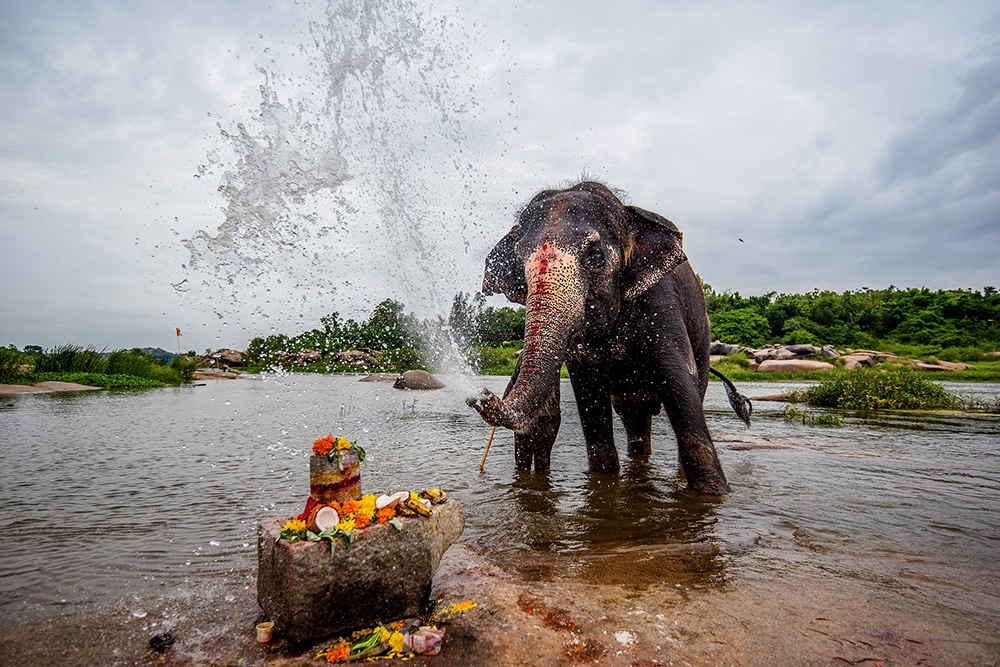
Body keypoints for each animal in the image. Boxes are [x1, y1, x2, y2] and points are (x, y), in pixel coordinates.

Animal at [468, 181, 752, 496]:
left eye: (595, 257)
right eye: (519, 261)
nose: (482, 395)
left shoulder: (662, 305)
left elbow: (679, 384)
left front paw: (713, 493)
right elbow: (589, 396)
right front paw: (604, 481)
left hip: (702, 334)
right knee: (634, 419)